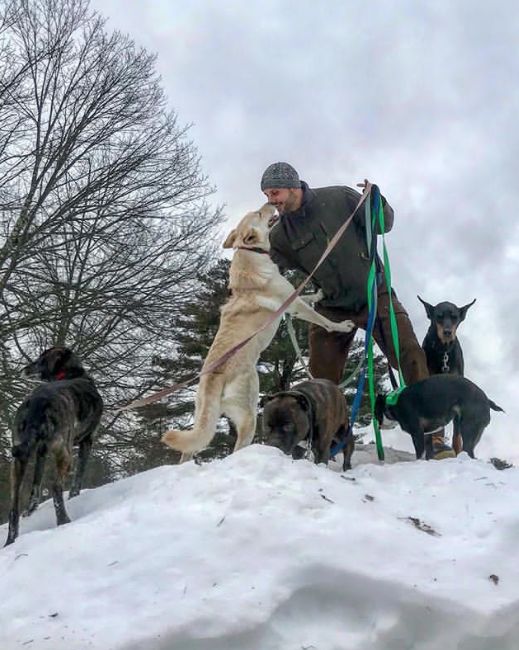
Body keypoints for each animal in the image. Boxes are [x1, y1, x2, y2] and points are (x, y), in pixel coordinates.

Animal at [5, 346, 103, 544]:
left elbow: (36, 483)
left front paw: (31, 509)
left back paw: (10, 541)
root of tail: (38, 402)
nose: (24, 369)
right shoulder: (87, 441)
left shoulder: (41, 451)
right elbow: (78, 478)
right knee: (56, 485)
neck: (71, 373)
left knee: (14, 505)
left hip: (19, 459)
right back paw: (64, 520)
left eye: (41, 360)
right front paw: (74, 497)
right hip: (64, 452)